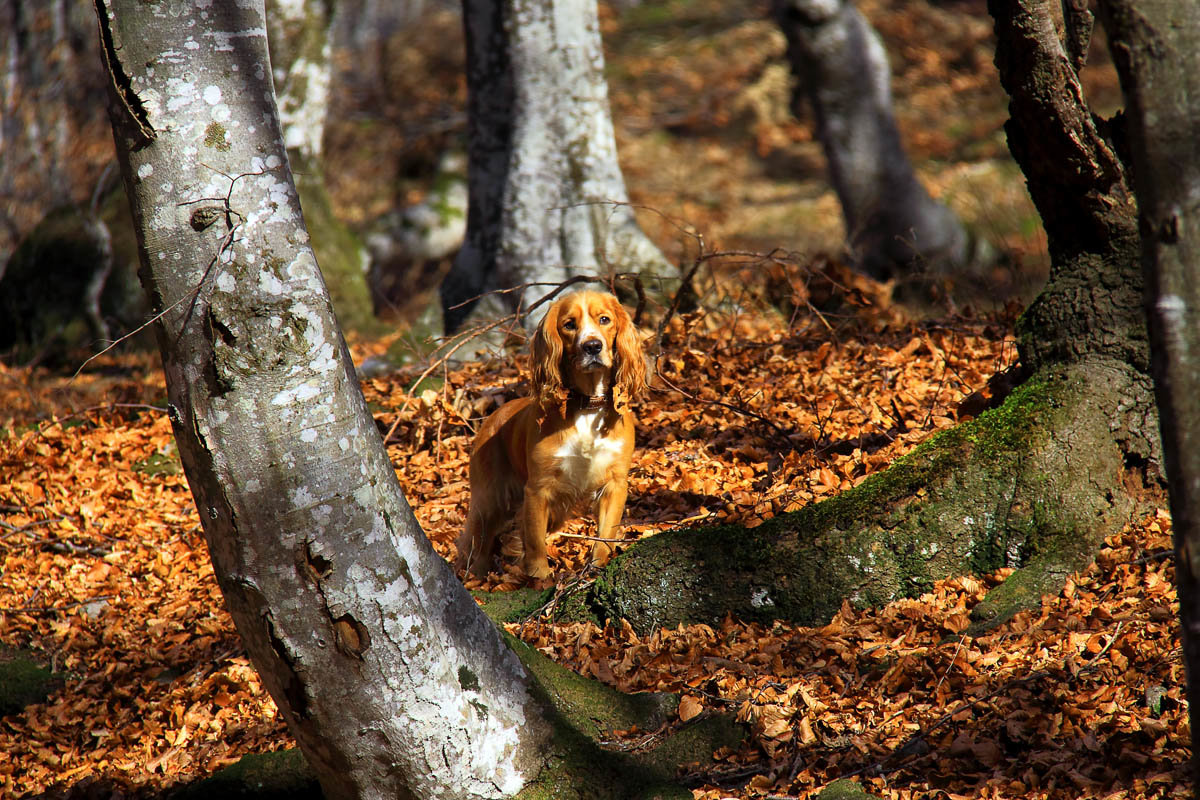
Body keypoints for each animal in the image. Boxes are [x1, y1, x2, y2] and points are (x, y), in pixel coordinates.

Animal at [456, 291, 648, 578]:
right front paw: (541, 578)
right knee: (477, 541)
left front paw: (596, 568)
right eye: (569, 325)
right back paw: (475, 576)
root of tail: (491, 418)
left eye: (604, 319)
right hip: (488, 499)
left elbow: (605, 535)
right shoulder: (538, 488)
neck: (588, 405)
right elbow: (535, 544)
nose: (593, 346)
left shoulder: (615, 483)